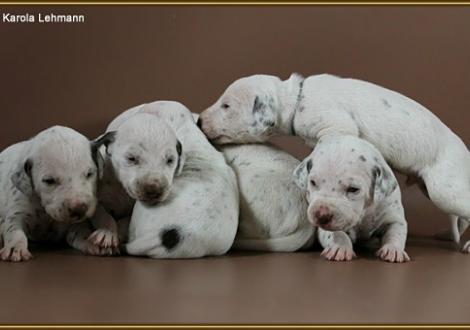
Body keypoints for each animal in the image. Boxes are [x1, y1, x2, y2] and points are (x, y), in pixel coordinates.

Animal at [0, 125, 107, 262]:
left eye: (89, 174)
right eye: (49, 180)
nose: (79, 209)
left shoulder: (74, 225)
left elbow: (82, 231)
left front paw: (93, 240)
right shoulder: (18, 213)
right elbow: (14, 229)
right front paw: (15, 247)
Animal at [294, 134, 408, 262]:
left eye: (353, 189)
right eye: (313, 182)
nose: (321, 215)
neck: (364, 212)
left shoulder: (393, 217)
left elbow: (395, 232)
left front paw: (393, 249)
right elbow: (336, 233)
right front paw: (340, 247)